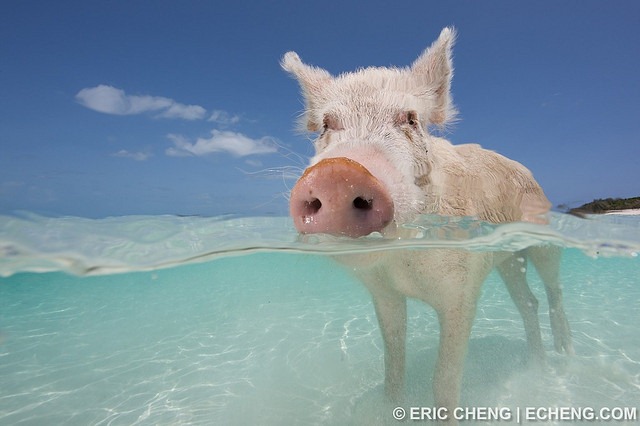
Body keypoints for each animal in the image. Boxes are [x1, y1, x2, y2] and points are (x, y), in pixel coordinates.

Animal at [282, 27, 573, 417]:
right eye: (327, 125)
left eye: (410, 119)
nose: (338, 172)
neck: (404, 263)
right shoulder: (384, 293)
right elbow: (392, 364)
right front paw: (389, 406)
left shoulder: (462, 292)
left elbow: (444, 380)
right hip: (507, 257)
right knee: (528, 301)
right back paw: (536, 365)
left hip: (541, 237)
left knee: (553, 288)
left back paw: (564, 355)